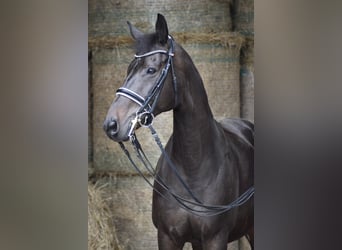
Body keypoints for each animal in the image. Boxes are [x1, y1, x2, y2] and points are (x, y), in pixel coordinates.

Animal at [103, 14, 252, 250]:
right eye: (128, 70)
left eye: (151, 70)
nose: (111, 124)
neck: (194, 167)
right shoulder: (167, 236)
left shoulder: (215, 238)